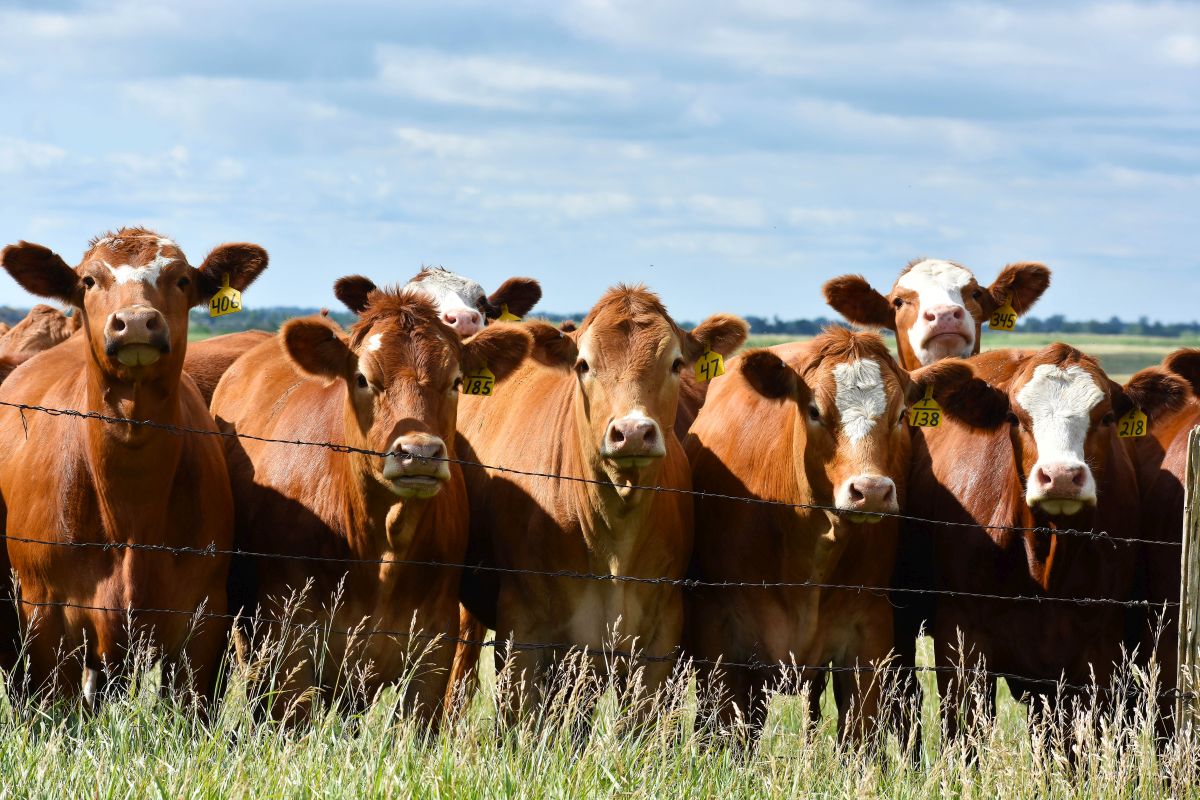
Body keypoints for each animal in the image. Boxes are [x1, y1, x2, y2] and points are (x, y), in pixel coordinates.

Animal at [210, 280, 534, 726]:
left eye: (455, 381)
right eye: (363, 378)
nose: (420, 452)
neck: (382, 548)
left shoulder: (434, 651)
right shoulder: (288, 643)